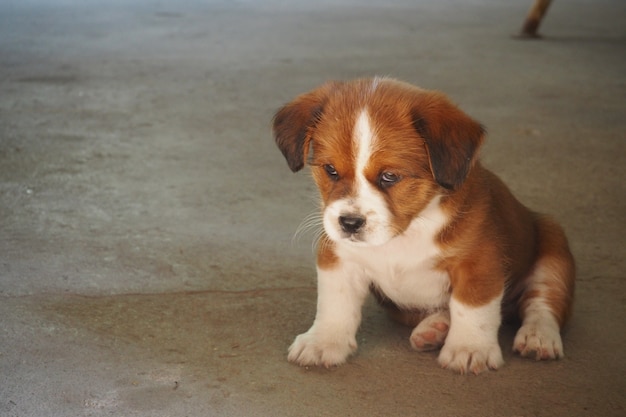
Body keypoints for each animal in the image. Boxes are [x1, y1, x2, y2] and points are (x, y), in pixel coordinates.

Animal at [270, 78, 572, 374]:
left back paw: (537, 336)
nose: (349, 223)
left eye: (390, 176)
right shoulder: (340, 258)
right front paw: (323, 340)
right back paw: (436, 328)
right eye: (330, 170)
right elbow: (335, 304)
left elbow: (472, 308)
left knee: (543, 303)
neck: (406, 233)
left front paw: (469, 348)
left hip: (554, 248)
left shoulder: (479, 264)